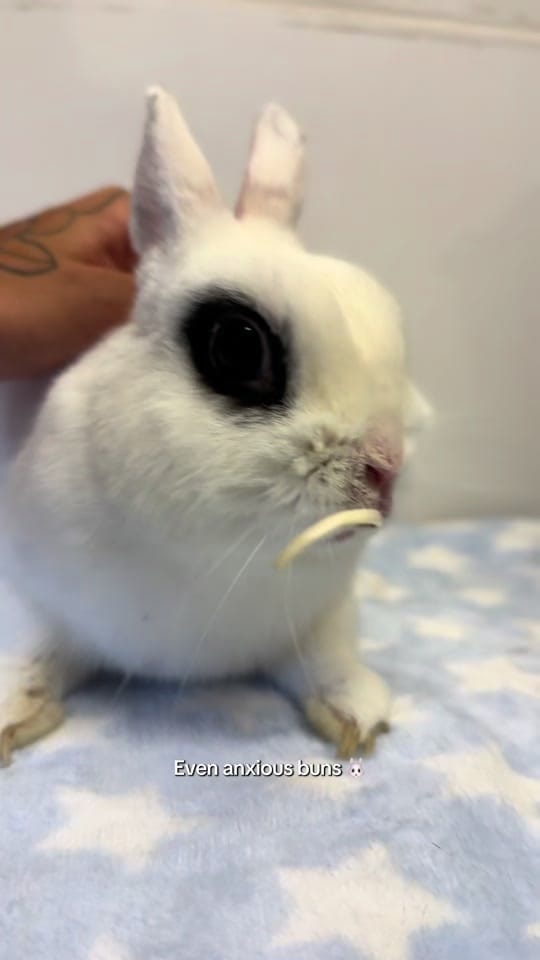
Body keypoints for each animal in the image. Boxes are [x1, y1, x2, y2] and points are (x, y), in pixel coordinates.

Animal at [0, 88, 430, 764]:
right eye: (237, 346)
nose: (387, 466)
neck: (219, 563)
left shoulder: (319, 621)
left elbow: (329, 662)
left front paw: (356, 714)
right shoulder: (28, 599)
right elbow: (30, 656)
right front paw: (12, 714)